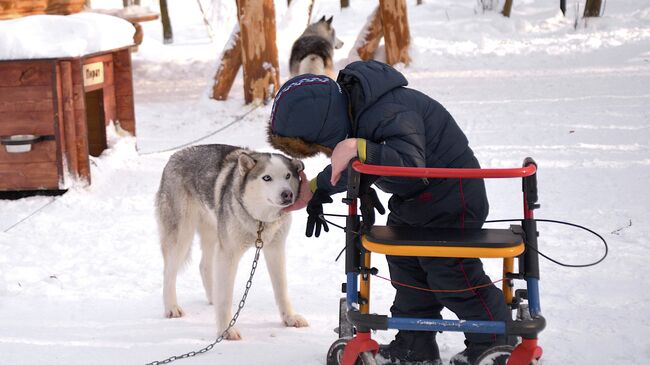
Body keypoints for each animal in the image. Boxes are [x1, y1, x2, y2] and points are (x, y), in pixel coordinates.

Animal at [157, 143, 308, 338]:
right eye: (267, 178)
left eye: (287, 176)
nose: (287, 194)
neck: (260, 220)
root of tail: (174, 155)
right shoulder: (229, 253)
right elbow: (225, 297)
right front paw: (225, 330)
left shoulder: (275, 249)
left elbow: (281, 289)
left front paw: (289, 318)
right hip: (182, 237)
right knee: (168, 273)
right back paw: (172, 308)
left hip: (213, 235)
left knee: (204, 266)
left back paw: (211, 296)